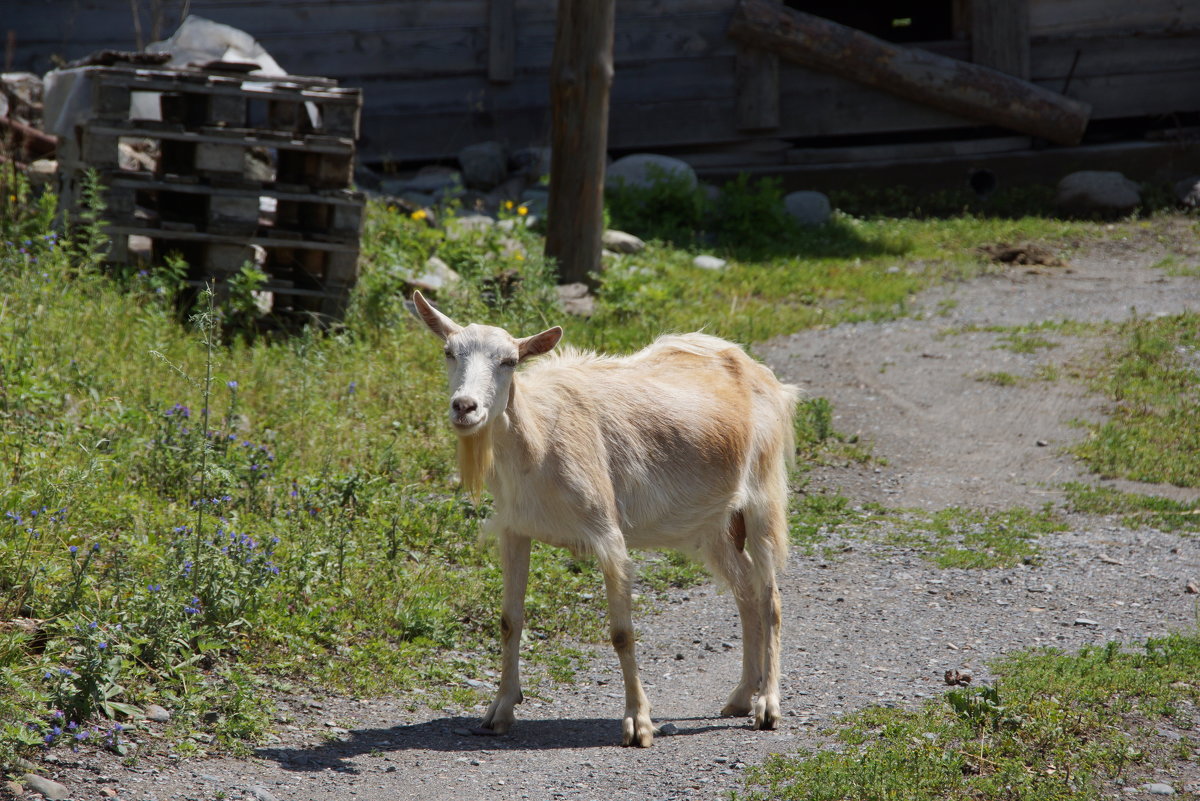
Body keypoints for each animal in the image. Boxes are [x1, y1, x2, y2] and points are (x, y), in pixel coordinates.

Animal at [410, 291, 796, 748]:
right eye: (449, 352)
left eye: (509, 361)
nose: (464, 407)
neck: (538, 438)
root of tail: (761, 373)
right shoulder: (515, 530)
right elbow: (509, 621)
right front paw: (499, 711)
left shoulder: (608, 535)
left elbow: (621, 632)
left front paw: (638, 724)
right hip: (712, 523)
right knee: (746, 591)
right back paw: (739, 697)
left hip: (762, 497)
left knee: (770, 597)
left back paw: (767, 706)